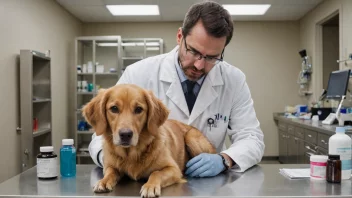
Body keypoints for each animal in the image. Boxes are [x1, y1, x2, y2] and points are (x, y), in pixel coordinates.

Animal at [82, 84, 216, 197]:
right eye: (114, 108)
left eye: (138, 109)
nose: (125, 134)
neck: (132, 154)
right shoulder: (111, 166)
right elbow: (110, 172)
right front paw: (103, 181)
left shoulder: (173, 169)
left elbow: (156, 173)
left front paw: (150, 186)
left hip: (191, 138)